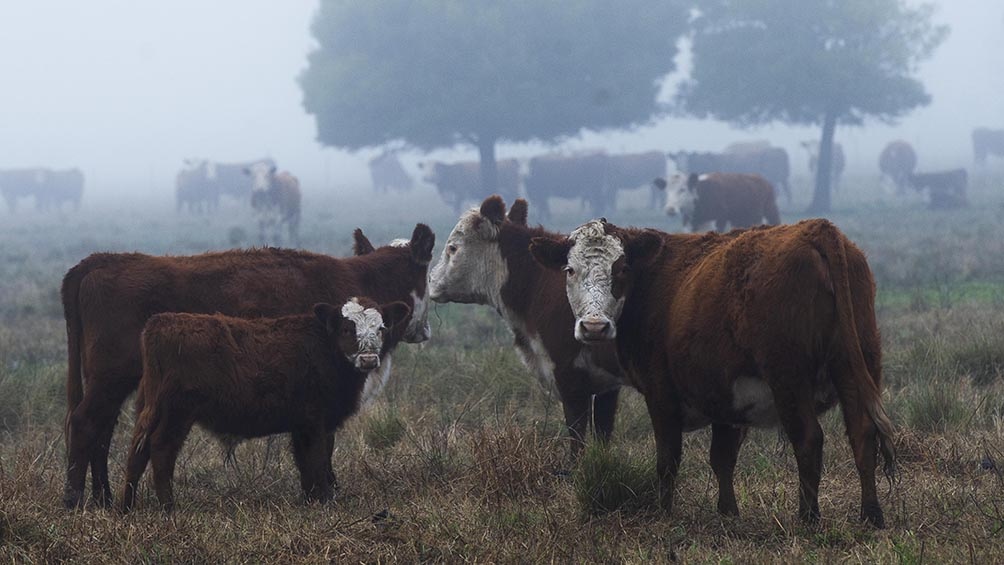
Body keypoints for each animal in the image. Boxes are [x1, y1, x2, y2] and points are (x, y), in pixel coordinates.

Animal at [119, 297, 409, 513]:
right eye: (348, 329)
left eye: (381, 328)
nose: (369, 359)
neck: (324, 348)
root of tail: (160, 322)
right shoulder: (316, 422)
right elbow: (318, 460)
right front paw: (325, 501)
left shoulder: (304, 426)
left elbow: (308, 463)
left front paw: (310, 500)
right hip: (176, 414)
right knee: (161, 450)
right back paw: (169, 508)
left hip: (149, 409)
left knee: (137, 453)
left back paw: (126, 508)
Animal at [427, 196, 622, 457]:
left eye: (453, 248)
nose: (431, 280)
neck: (537, 282)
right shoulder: (606, 386)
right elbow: (602, 432)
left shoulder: (569, 376)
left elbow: (577, 434)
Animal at [530, 218, 899, 529]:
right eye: (570, 269)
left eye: (621, 268)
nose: (594, 326)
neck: (651, 280)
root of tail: (818, 230)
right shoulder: (725, 396)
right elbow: (722, 458)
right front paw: (728, 512)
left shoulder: (660, 392)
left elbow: (668, 459)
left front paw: (664, 512)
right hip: (856, 366)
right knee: (862, 434)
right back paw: (871, 515)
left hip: (789, 378)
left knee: (809, 439)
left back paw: (808, 517)